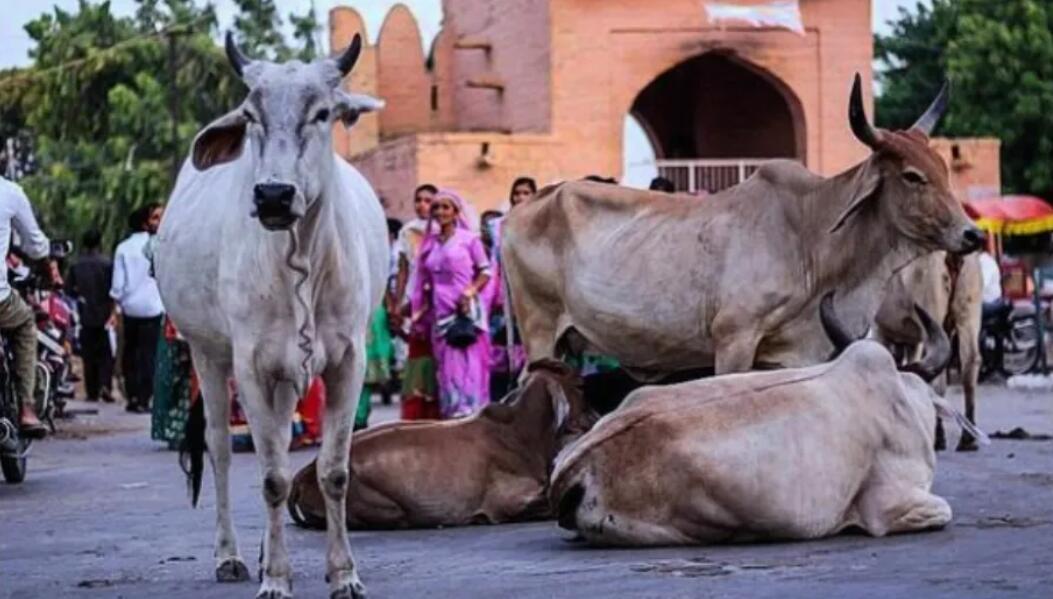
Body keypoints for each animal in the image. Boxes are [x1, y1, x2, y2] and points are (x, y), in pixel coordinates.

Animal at [155, 33, 387, 597]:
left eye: (323, 112)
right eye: (250, 115)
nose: (274, 195)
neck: (300, 259)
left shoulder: (347, 362)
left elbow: (333, 471)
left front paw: (343, 574)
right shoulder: (252, 366)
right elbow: (272, 477)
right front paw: (276, 580)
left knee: (280, 440)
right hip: (208, 354)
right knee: (220, 448)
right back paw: (232, 556)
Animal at [288, 360, 598, 528]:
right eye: (580, 385)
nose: (596, 416)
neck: (521, 433)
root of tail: (305, 473)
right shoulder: (508, 504)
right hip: (389, 511)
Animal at [505, 72, 981, 376]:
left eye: (944, 169)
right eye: (912, 176)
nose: (972, 234)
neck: (810, 238)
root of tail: (529, 206)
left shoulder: (791, 356)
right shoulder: (734, 339)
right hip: (539, 331)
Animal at [871, 247, 985, 448]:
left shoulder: (879, 328)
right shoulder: (911, 339)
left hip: (932, 304)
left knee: (939, 379)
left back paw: (938, 436)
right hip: (969, 306)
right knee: (970, 363)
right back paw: (968, 437)